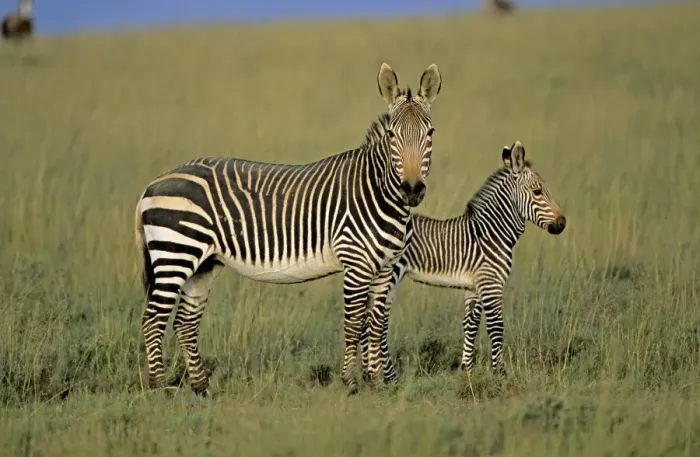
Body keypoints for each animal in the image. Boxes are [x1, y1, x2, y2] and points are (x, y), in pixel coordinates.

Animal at [134, 63, 442, 396]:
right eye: (391, 135)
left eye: (430, 133)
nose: (412, 190)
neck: (378, 192)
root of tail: (153, 183)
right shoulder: (356, 263)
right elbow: (353, 324)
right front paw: (351, 382)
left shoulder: (385, 267)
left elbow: (376, 324)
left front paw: (378, 383)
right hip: (175, 254)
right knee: (153, 320)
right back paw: (160, 389)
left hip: (202, 263)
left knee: (184, 322)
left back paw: (202, 388)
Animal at [360, 141, 566, 382]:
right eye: (537, 192)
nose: (562, 223)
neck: (491, 233)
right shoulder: (490, 283)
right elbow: (496, 326)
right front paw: (500, 373)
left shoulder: (474, 287)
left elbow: (471, 324)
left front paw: (467, 369)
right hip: (389, 275)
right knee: (377, 321)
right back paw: (386, 375)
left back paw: (371, 373)